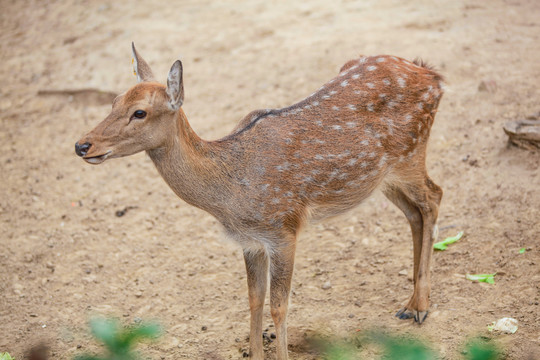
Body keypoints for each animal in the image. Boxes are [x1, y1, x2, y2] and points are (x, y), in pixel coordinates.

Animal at [75, 43, 442, 358]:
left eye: (140, 112)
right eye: (114, 101)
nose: (82, 145)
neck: (232, 192)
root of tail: (433, 75)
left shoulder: (284, 230)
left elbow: (279, 306)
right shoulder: (250, 241)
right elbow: (254, 299)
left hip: (410, 154)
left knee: (433, 198)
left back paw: (420, 306)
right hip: (382, 177)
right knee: (414, 211)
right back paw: (411, 299)